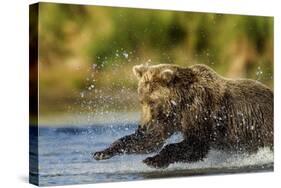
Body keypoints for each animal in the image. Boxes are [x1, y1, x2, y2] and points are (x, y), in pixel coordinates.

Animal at [93, 64, 272, 168]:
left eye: (152, 102)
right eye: (141, 100)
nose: (142, 126)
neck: (179, 104)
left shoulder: (201, 111)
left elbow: (195, 144)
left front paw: (153, 160)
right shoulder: (168, 119)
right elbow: (150, 140)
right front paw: (102, 152)